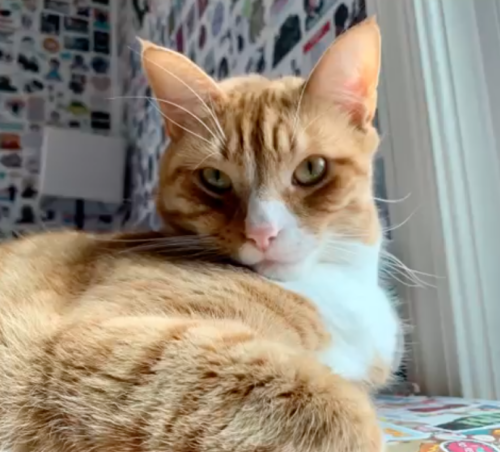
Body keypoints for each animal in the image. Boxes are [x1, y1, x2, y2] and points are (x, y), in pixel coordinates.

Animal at [0, 18, 398, 452]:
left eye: (312, 169)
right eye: (214, 178)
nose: (262, 233)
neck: (334, 285)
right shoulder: (104, 341)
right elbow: (343, 415)